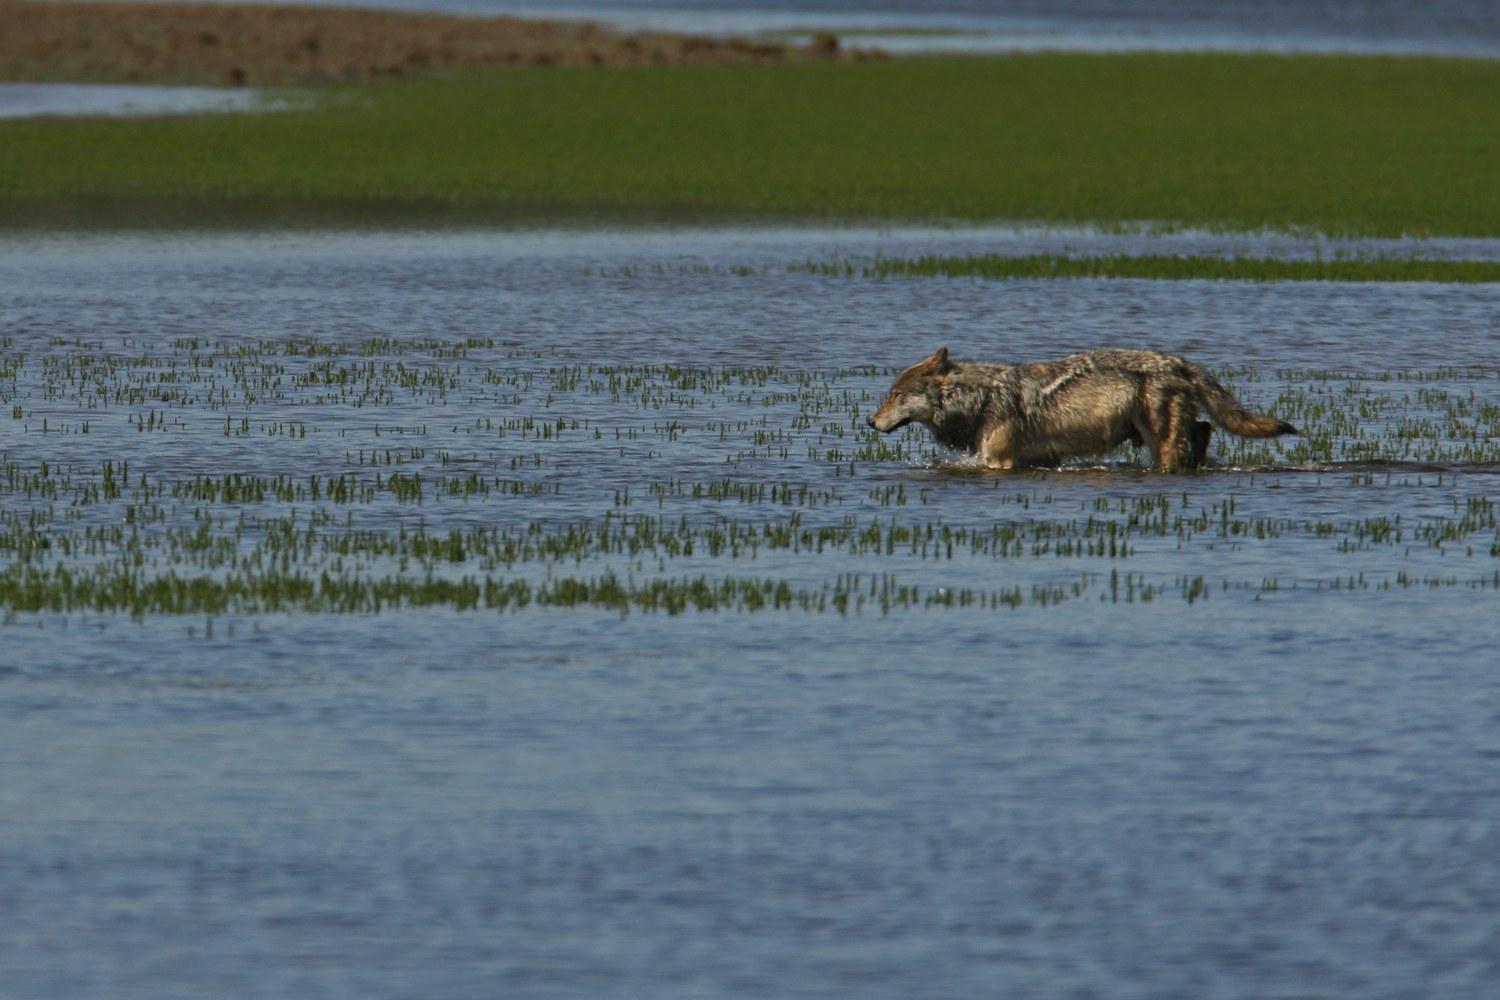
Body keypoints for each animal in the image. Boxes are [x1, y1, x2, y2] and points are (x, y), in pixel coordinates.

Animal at [867, 348, 1297, 471]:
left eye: (895, 395)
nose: (869, 422)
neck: (980, 397)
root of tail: (1177, 362)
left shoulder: (998, 461)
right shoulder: (1040, 459)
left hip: (1158, 438)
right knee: (1205, 430)